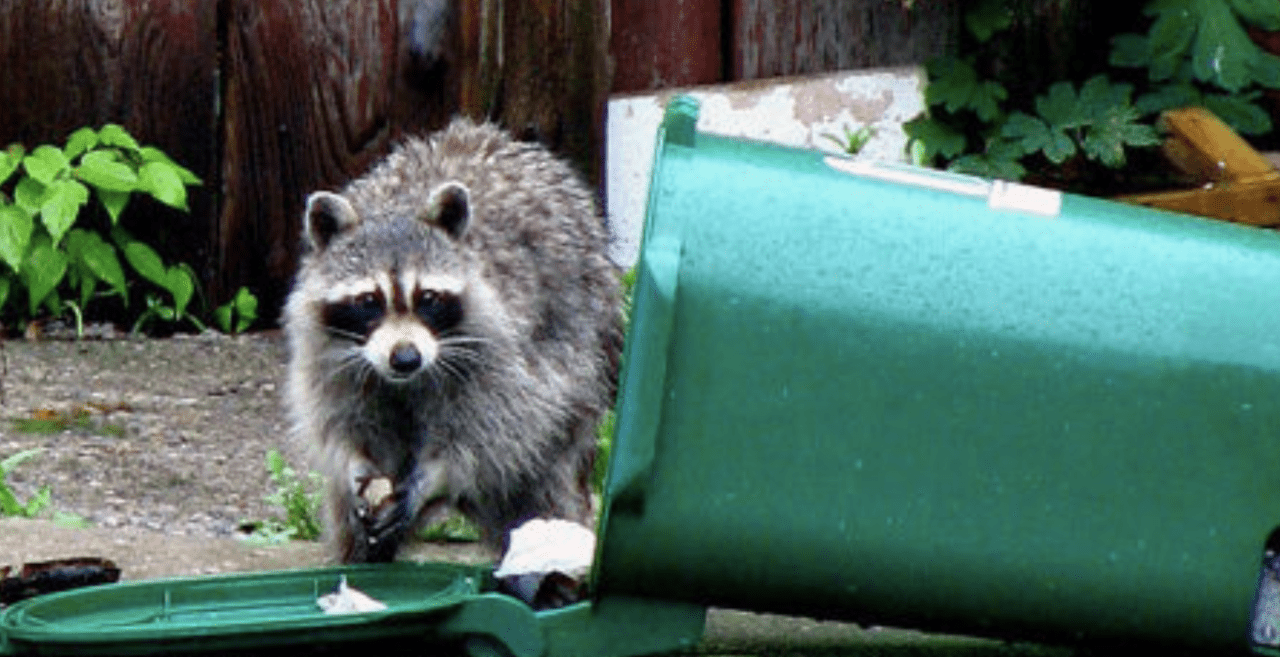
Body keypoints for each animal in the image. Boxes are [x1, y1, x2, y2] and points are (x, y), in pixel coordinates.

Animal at [283, 118, 622, 563]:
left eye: (427, 298)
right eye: (369, 301)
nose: (406, 358)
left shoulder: (505, 350)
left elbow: (494, 429)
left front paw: (433, 475)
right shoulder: (328, 353)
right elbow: (339, 419)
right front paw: (358, 459)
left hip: (586, 350)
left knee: (543, 478)